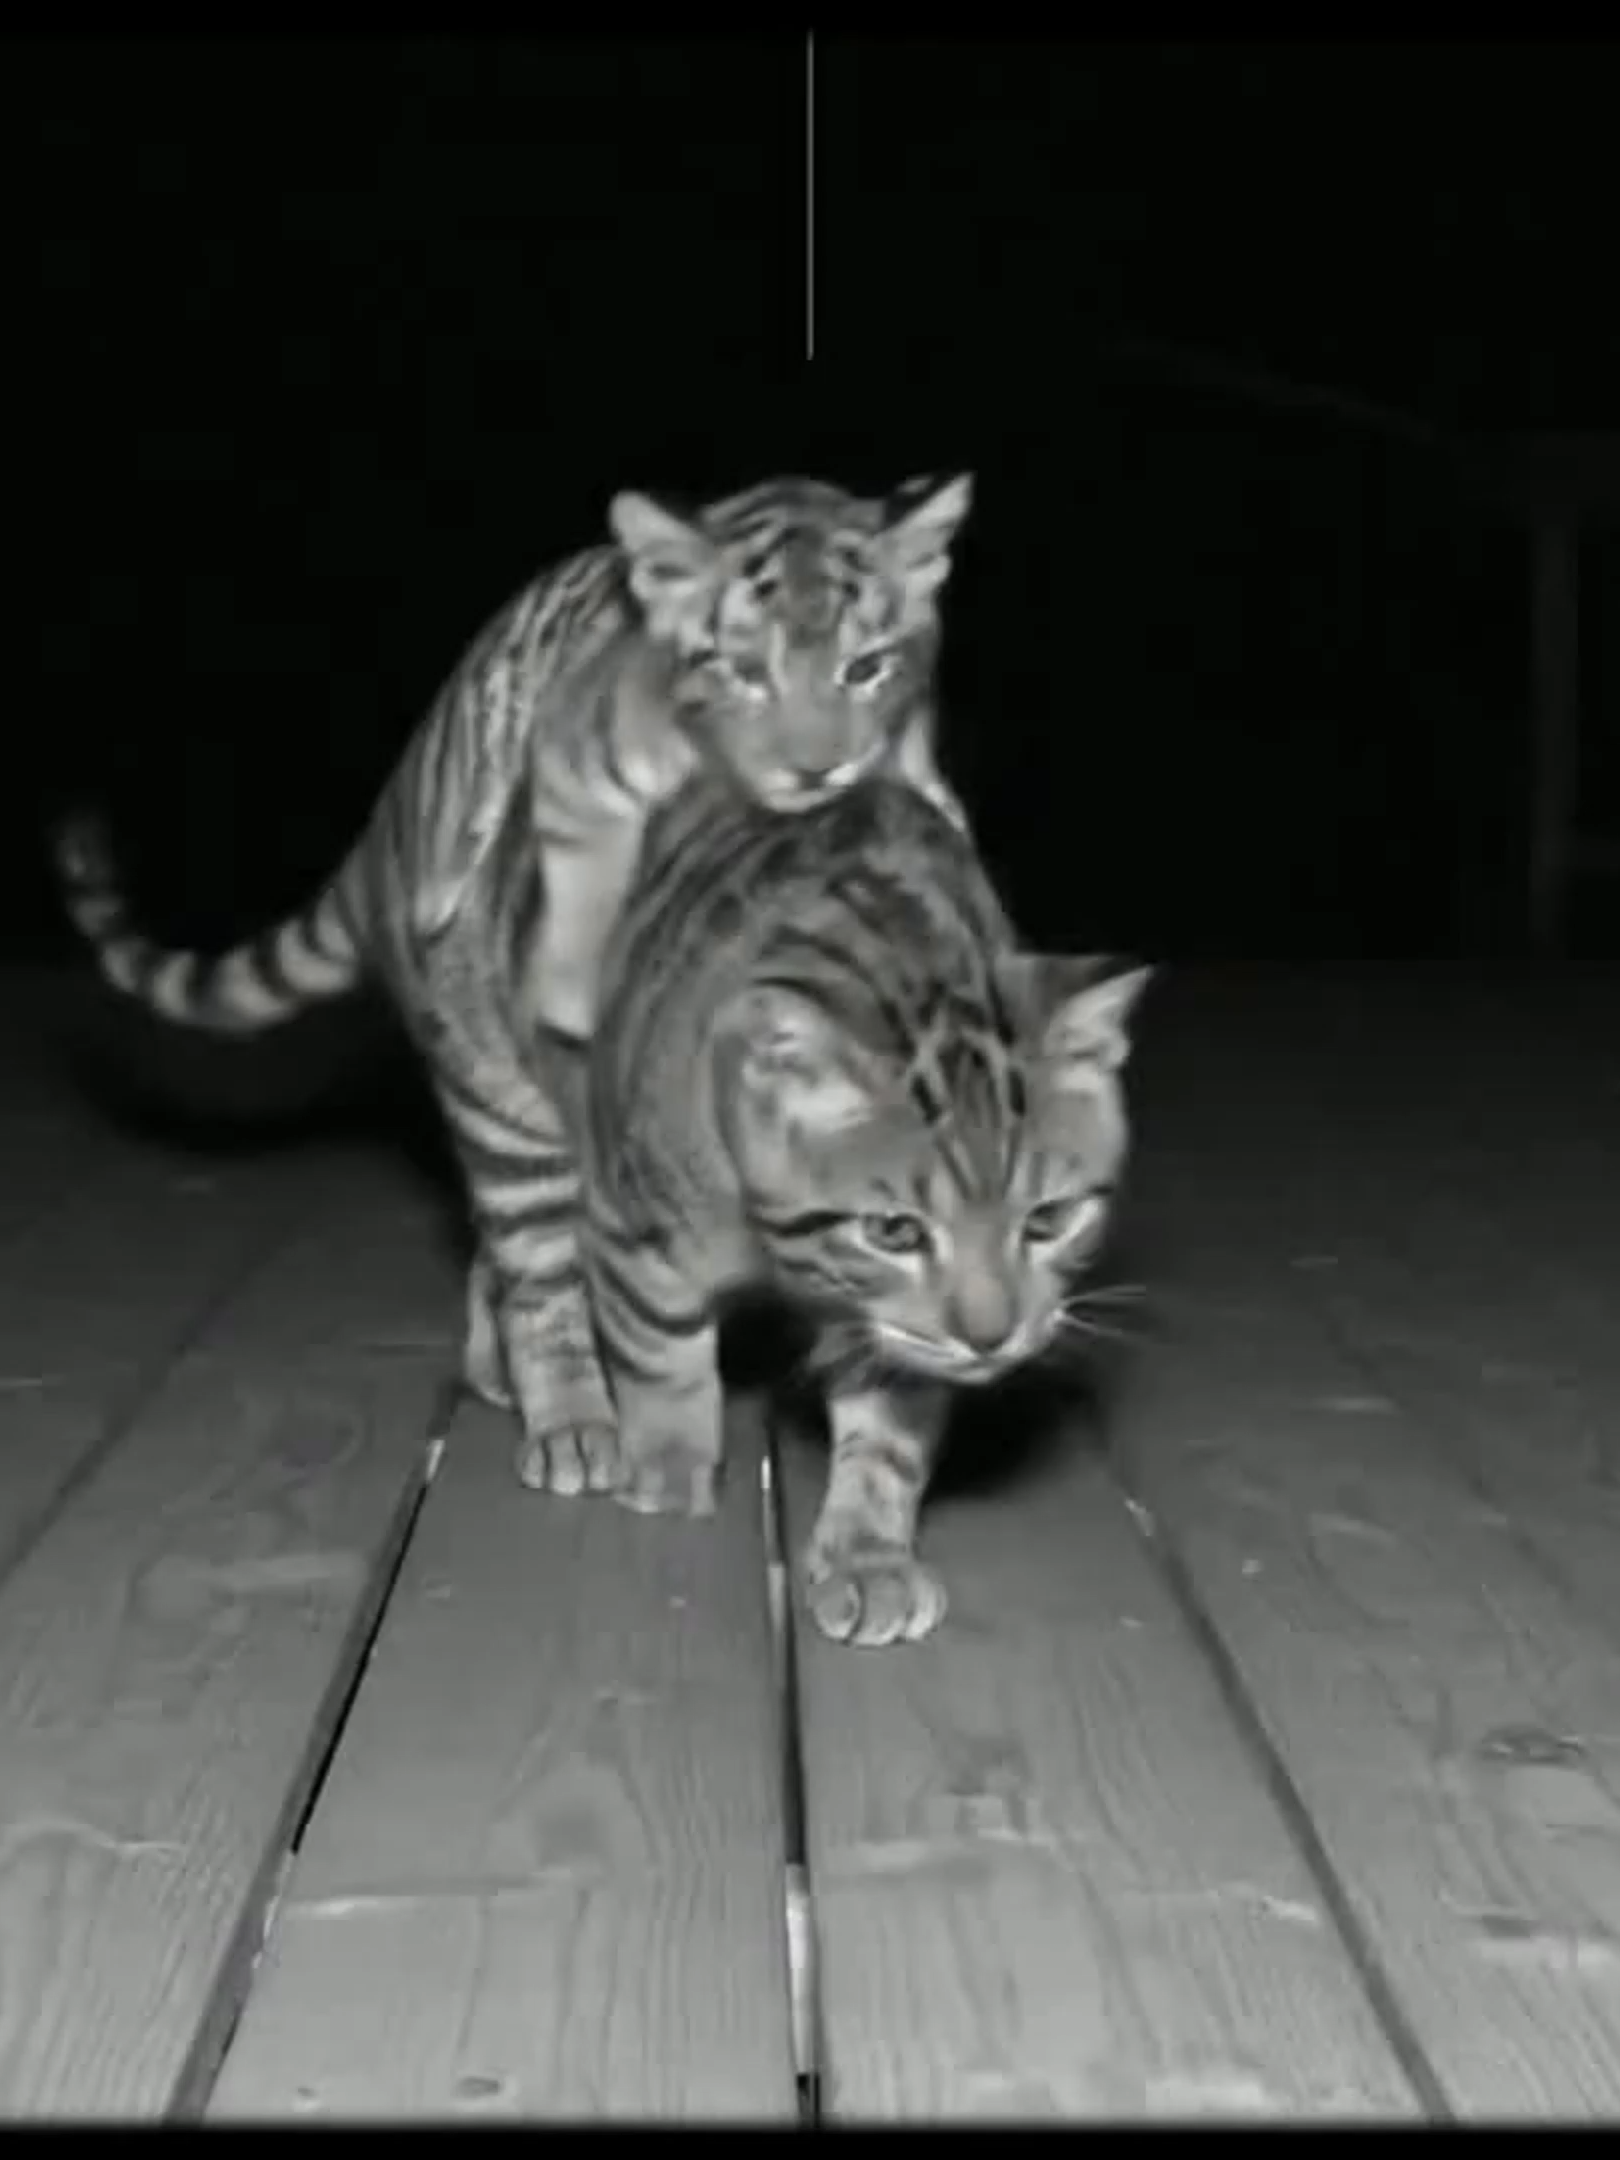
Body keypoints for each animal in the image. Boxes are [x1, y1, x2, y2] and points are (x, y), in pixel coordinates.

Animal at [55, 473, 976, 1485]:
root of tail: (387, 833)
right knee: (537, 1280)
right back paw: (571, 1423)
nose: (817, 766)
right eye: (743, 671)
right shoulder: (587, 769)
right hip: (508, 1123)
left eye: (866, 668)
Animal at [560, 767, 1153, 1646]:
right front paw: (668, 1464)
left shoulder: (902, 1340)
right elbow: (660, 1352)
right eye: (893, 1231)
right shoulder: (634, 1225)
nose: (990, 1337)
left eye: (1047, 1221)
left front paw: (868, 1554)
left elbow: (887, 1440)